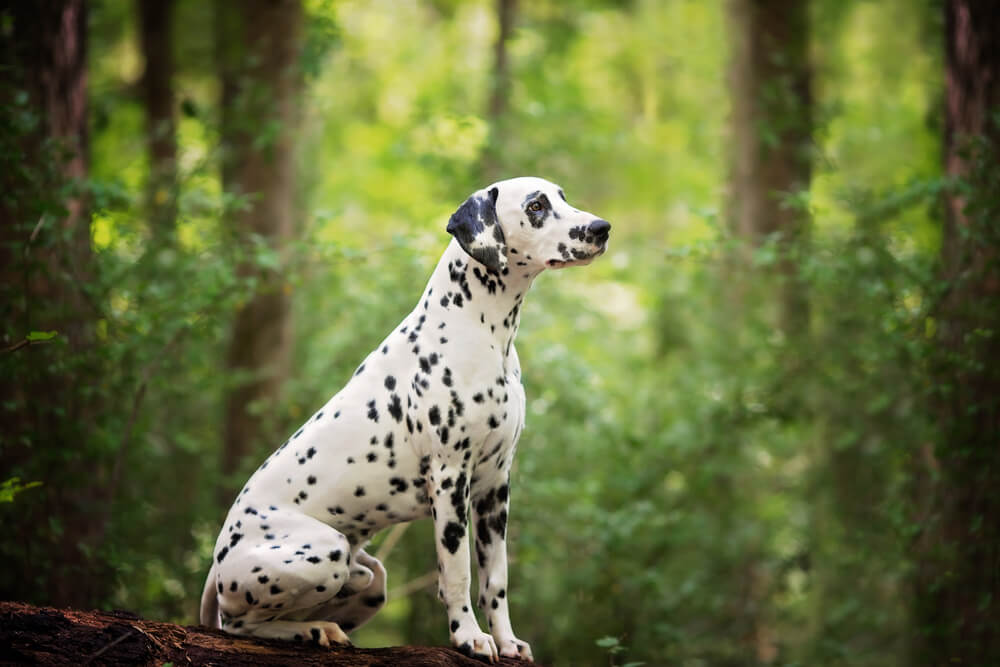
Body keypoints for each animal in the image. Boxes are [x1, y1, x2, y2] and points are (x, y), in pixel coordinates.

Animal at [199, 177, 608, 664]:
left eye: (562, 196)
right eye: (536, 206)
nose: (601, 228)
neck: (480, 330)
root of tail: (216, 563)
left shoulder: (495, 488)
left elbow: (496, 579)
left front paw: (506, 641)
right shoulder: (450, 480)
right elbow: (458, 574)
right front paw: (468, 636)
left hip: (370, 577)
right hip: (325, 552)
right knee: (240, 625)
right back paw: (311, 630)